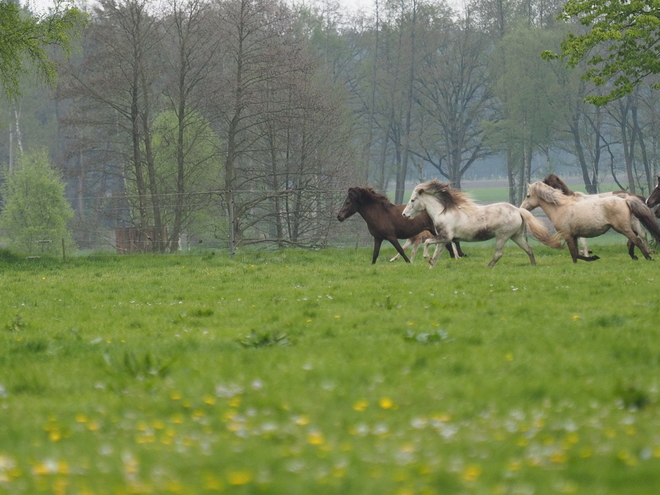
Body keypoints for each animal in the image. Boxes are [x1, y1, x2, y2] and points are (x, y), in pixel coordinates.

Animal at [336, 187, 464, 266]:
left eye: (348, 202)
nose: (339, 217)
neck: (379, 213)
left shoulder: (391, 237)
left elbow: (401, 250)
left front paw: (408, 263)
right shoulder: (378, 238)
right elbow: (375, 254)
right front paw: (372, 265)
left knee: (448, 245)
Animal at [402, 180, 564, 270]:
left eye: (412, 200)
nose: (404, 215)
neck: (443, 212)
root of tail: (518, 210)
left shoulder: (444, 237)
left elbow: (427, 243)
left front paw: (427, 259)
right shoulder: (444, 240)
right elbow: (437, 254)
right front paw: (430, 267)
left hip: (502, 236)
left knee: (499, 253)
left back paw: (488, 267)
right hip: (516, 236)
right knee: (528, 249)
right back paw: (533, 266)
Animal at [520, 179, 660, 264]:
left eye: (528, 195)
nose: (522, 207)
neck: (560, 208)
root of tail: (625, 200)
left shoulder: (567, 235)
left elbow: (575, 254)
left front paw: (593, 257)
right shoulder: (574, 236)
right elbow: (576, 254)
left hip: (623, 228)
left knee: (637, 240)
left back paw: (648, 257)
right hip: (629, 226)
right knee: (635, 239)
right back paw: (636, 255)